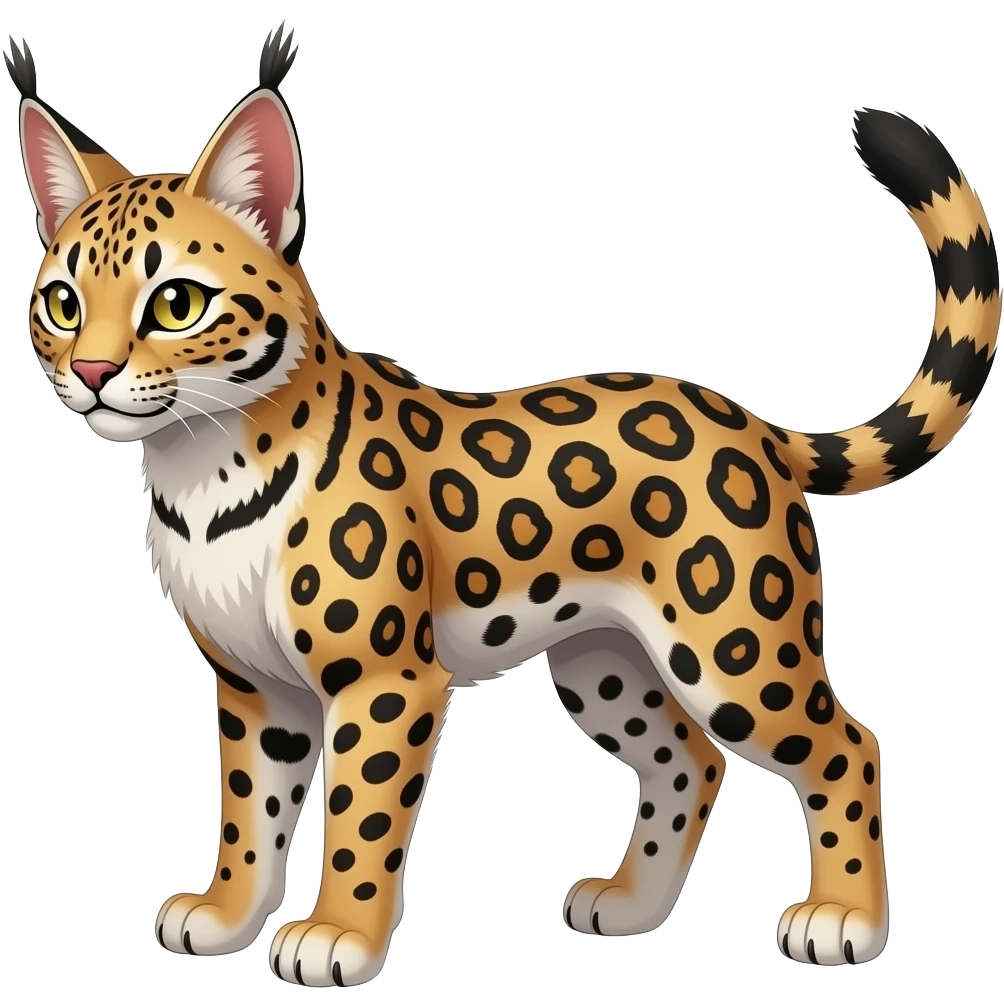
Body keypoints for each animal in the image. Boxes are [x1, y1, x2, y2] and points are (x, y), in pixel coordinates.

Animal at [5, 22, 1001, 986]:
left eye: (176, 303)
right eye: (61, 302)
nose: (90, 373)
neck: (201, 469)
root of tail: (748, 419)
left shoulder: (384, 681)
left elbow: (361, 820)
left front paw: (337, 936)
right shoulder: (255, 686)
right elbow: (248, 813)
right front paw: (225, 916)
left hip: (735, 651)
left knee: (846, 747)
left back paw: (844, 921)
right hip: (604, 664)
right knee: (689, 760)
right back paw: (632, 907)